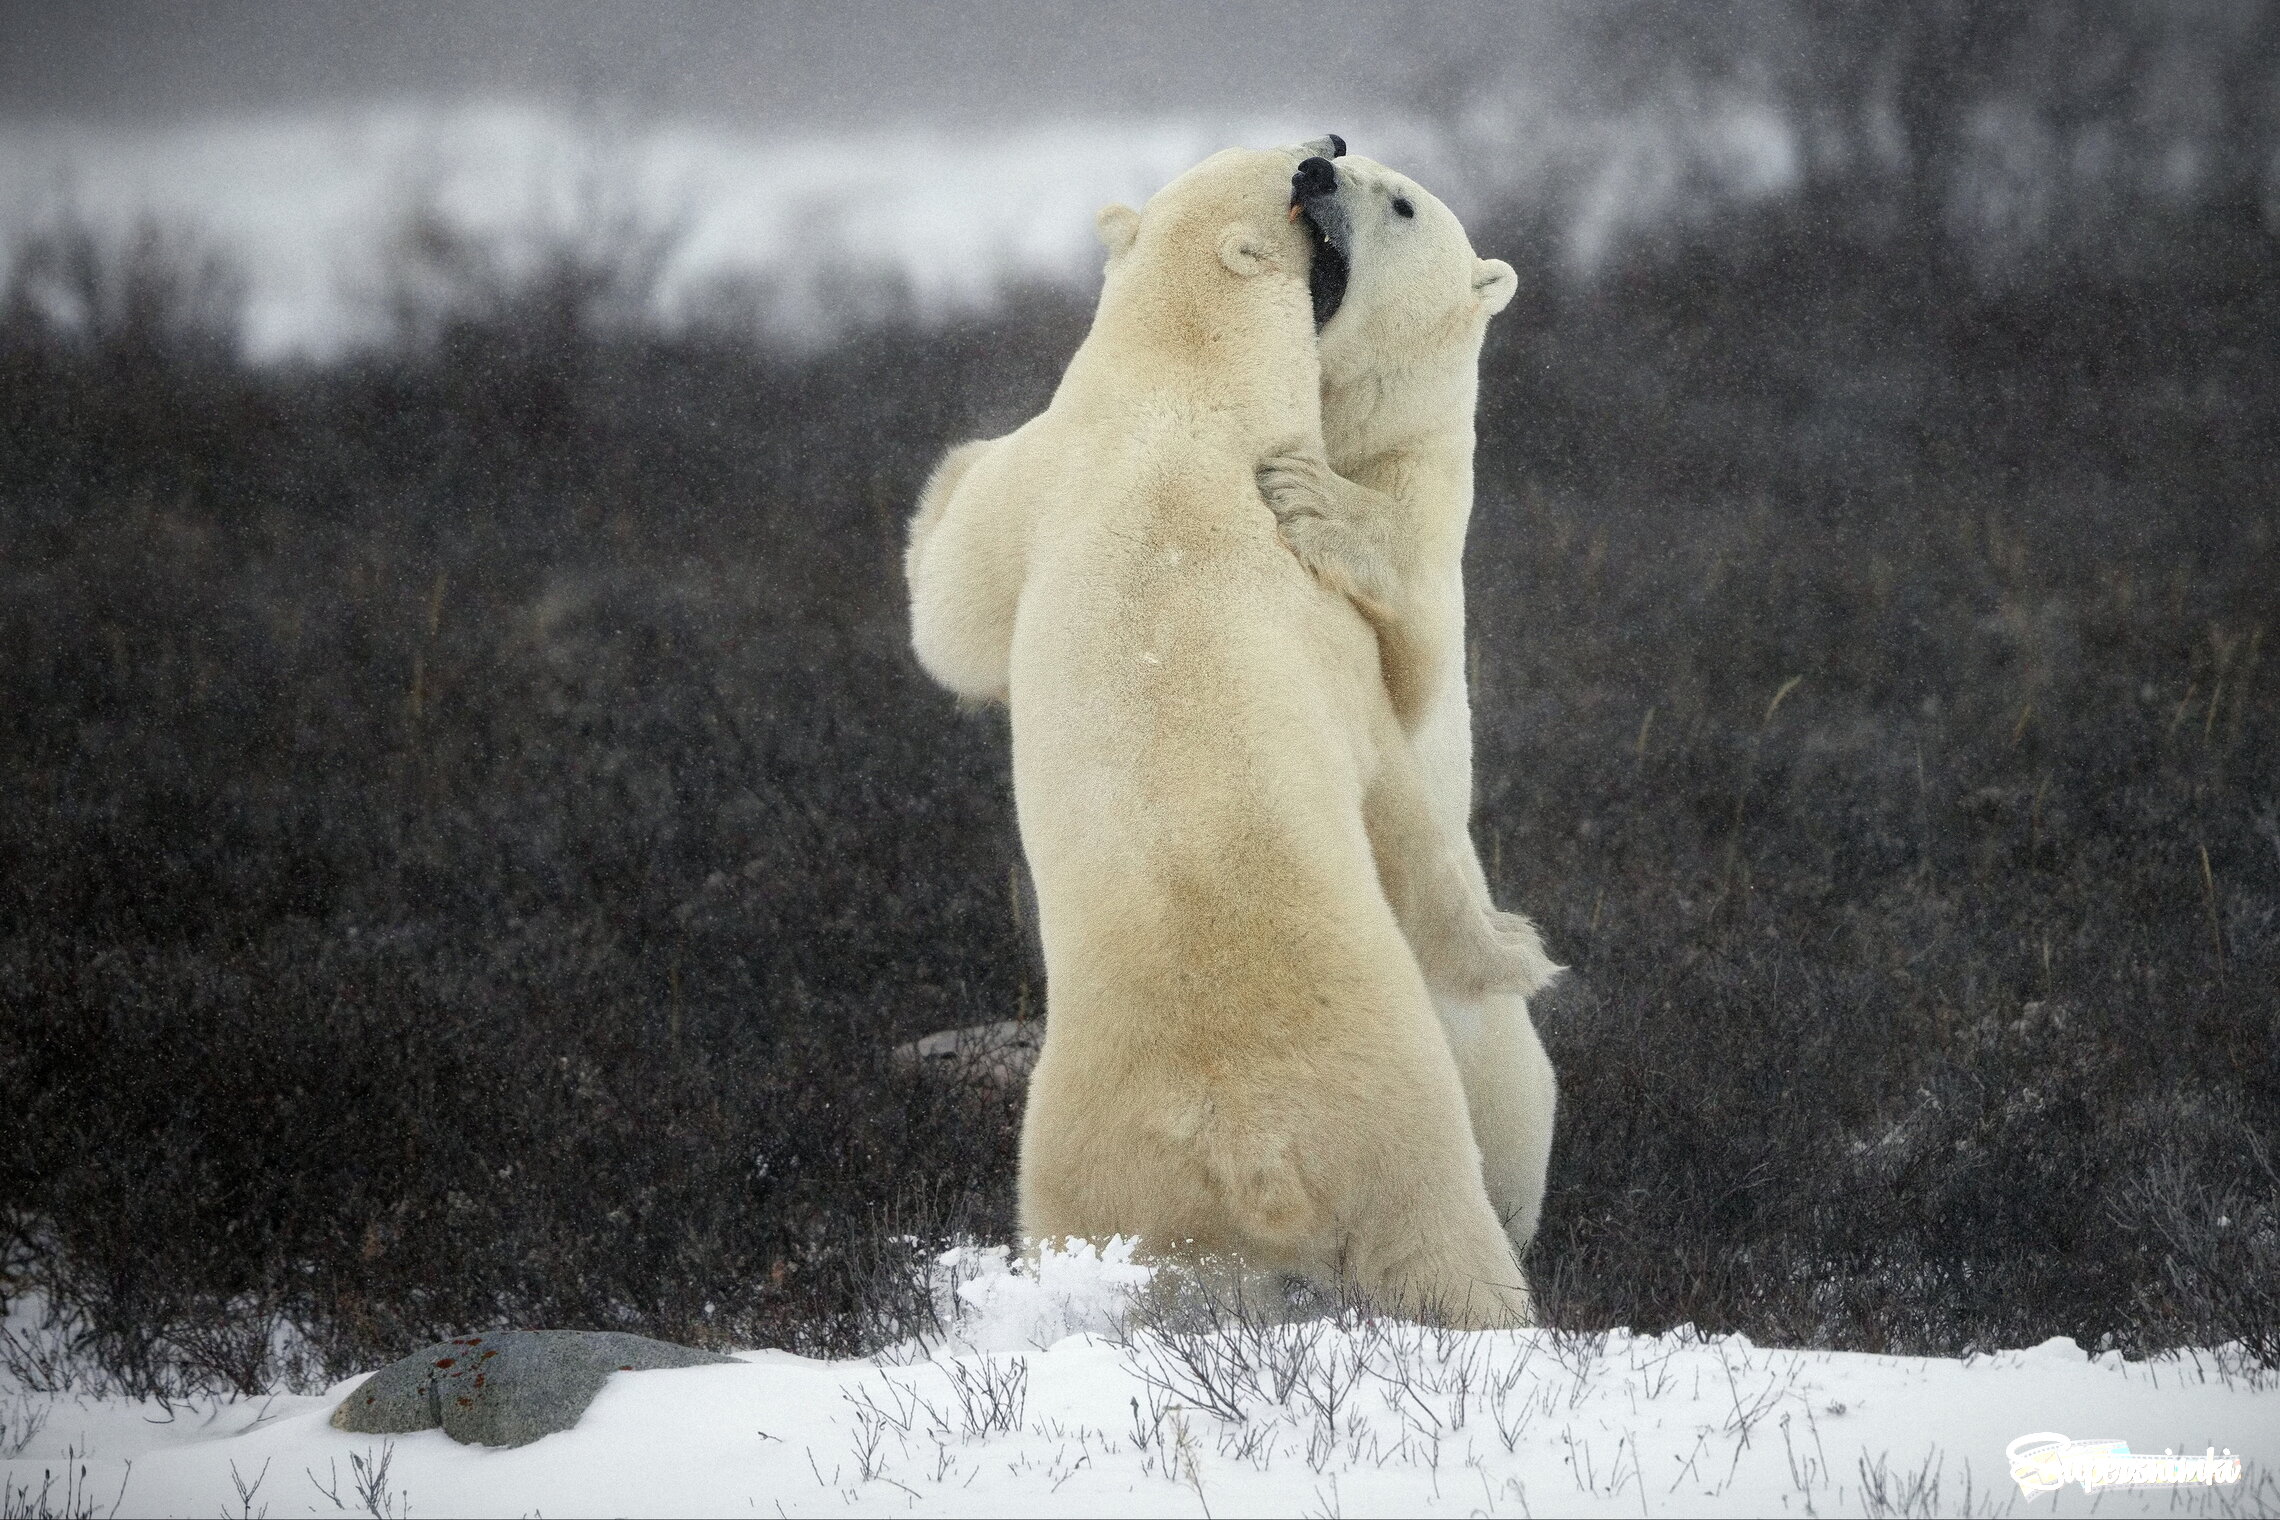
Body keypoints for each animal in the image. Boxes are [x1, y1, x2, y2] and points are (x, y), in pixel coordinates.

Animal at [902, 148, 1532, 1321]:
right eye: (1311, 166)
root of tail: (1257, 1155)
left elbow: (951, 609)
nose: (1320, 156)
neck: (1180, 405)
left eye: (1399, 200)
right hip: (1338, 1139)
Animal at [1285, 148, 1568, 1257]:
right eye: (1337, 146)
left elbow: (1405, 654)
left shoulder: (1427, 515)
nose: (1311, 167)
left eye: (1400, 201)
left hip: (1503, 1089)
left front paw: (1310, 497)